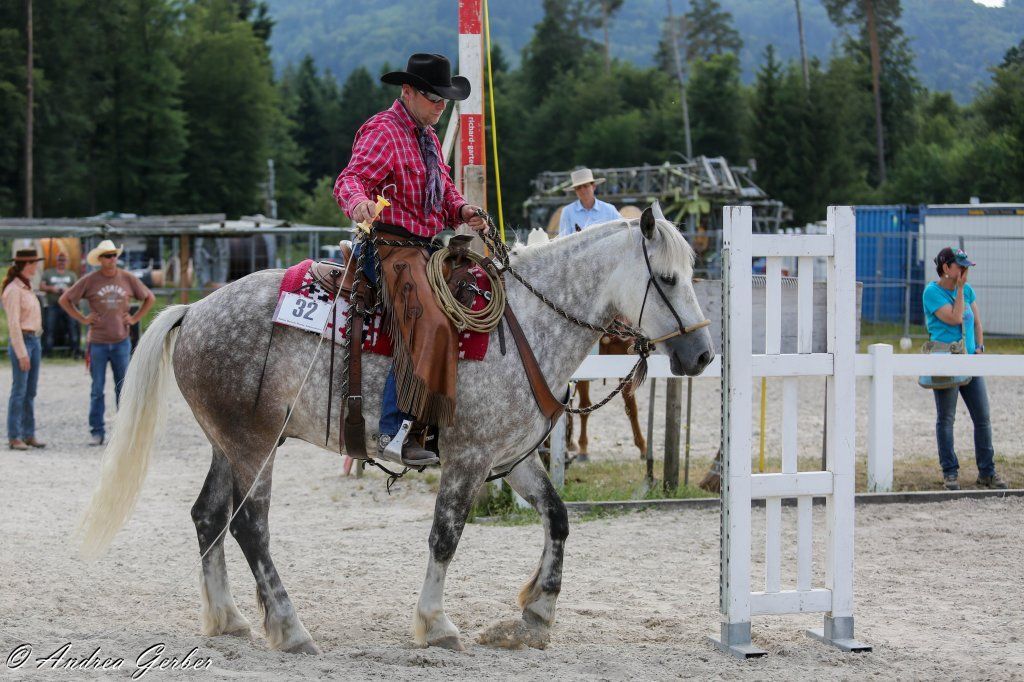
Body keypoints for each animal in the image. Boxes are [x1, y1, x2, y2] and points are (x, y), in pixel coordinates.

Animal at [78, 205, 715, 654]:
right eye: (666, 278)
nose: (703, 355)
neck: (523, 327)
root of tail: (195, 310)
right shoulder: (467, 459)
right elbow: (445, 537)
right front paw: (435, 623)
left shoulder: (510, 458)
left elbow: (557, 518)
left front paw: (534, 616)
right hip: (253, 445)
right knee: (249, 528)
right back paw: (289, 628)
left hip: (228, 444)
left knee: (208, 517)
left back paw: (228, 618)